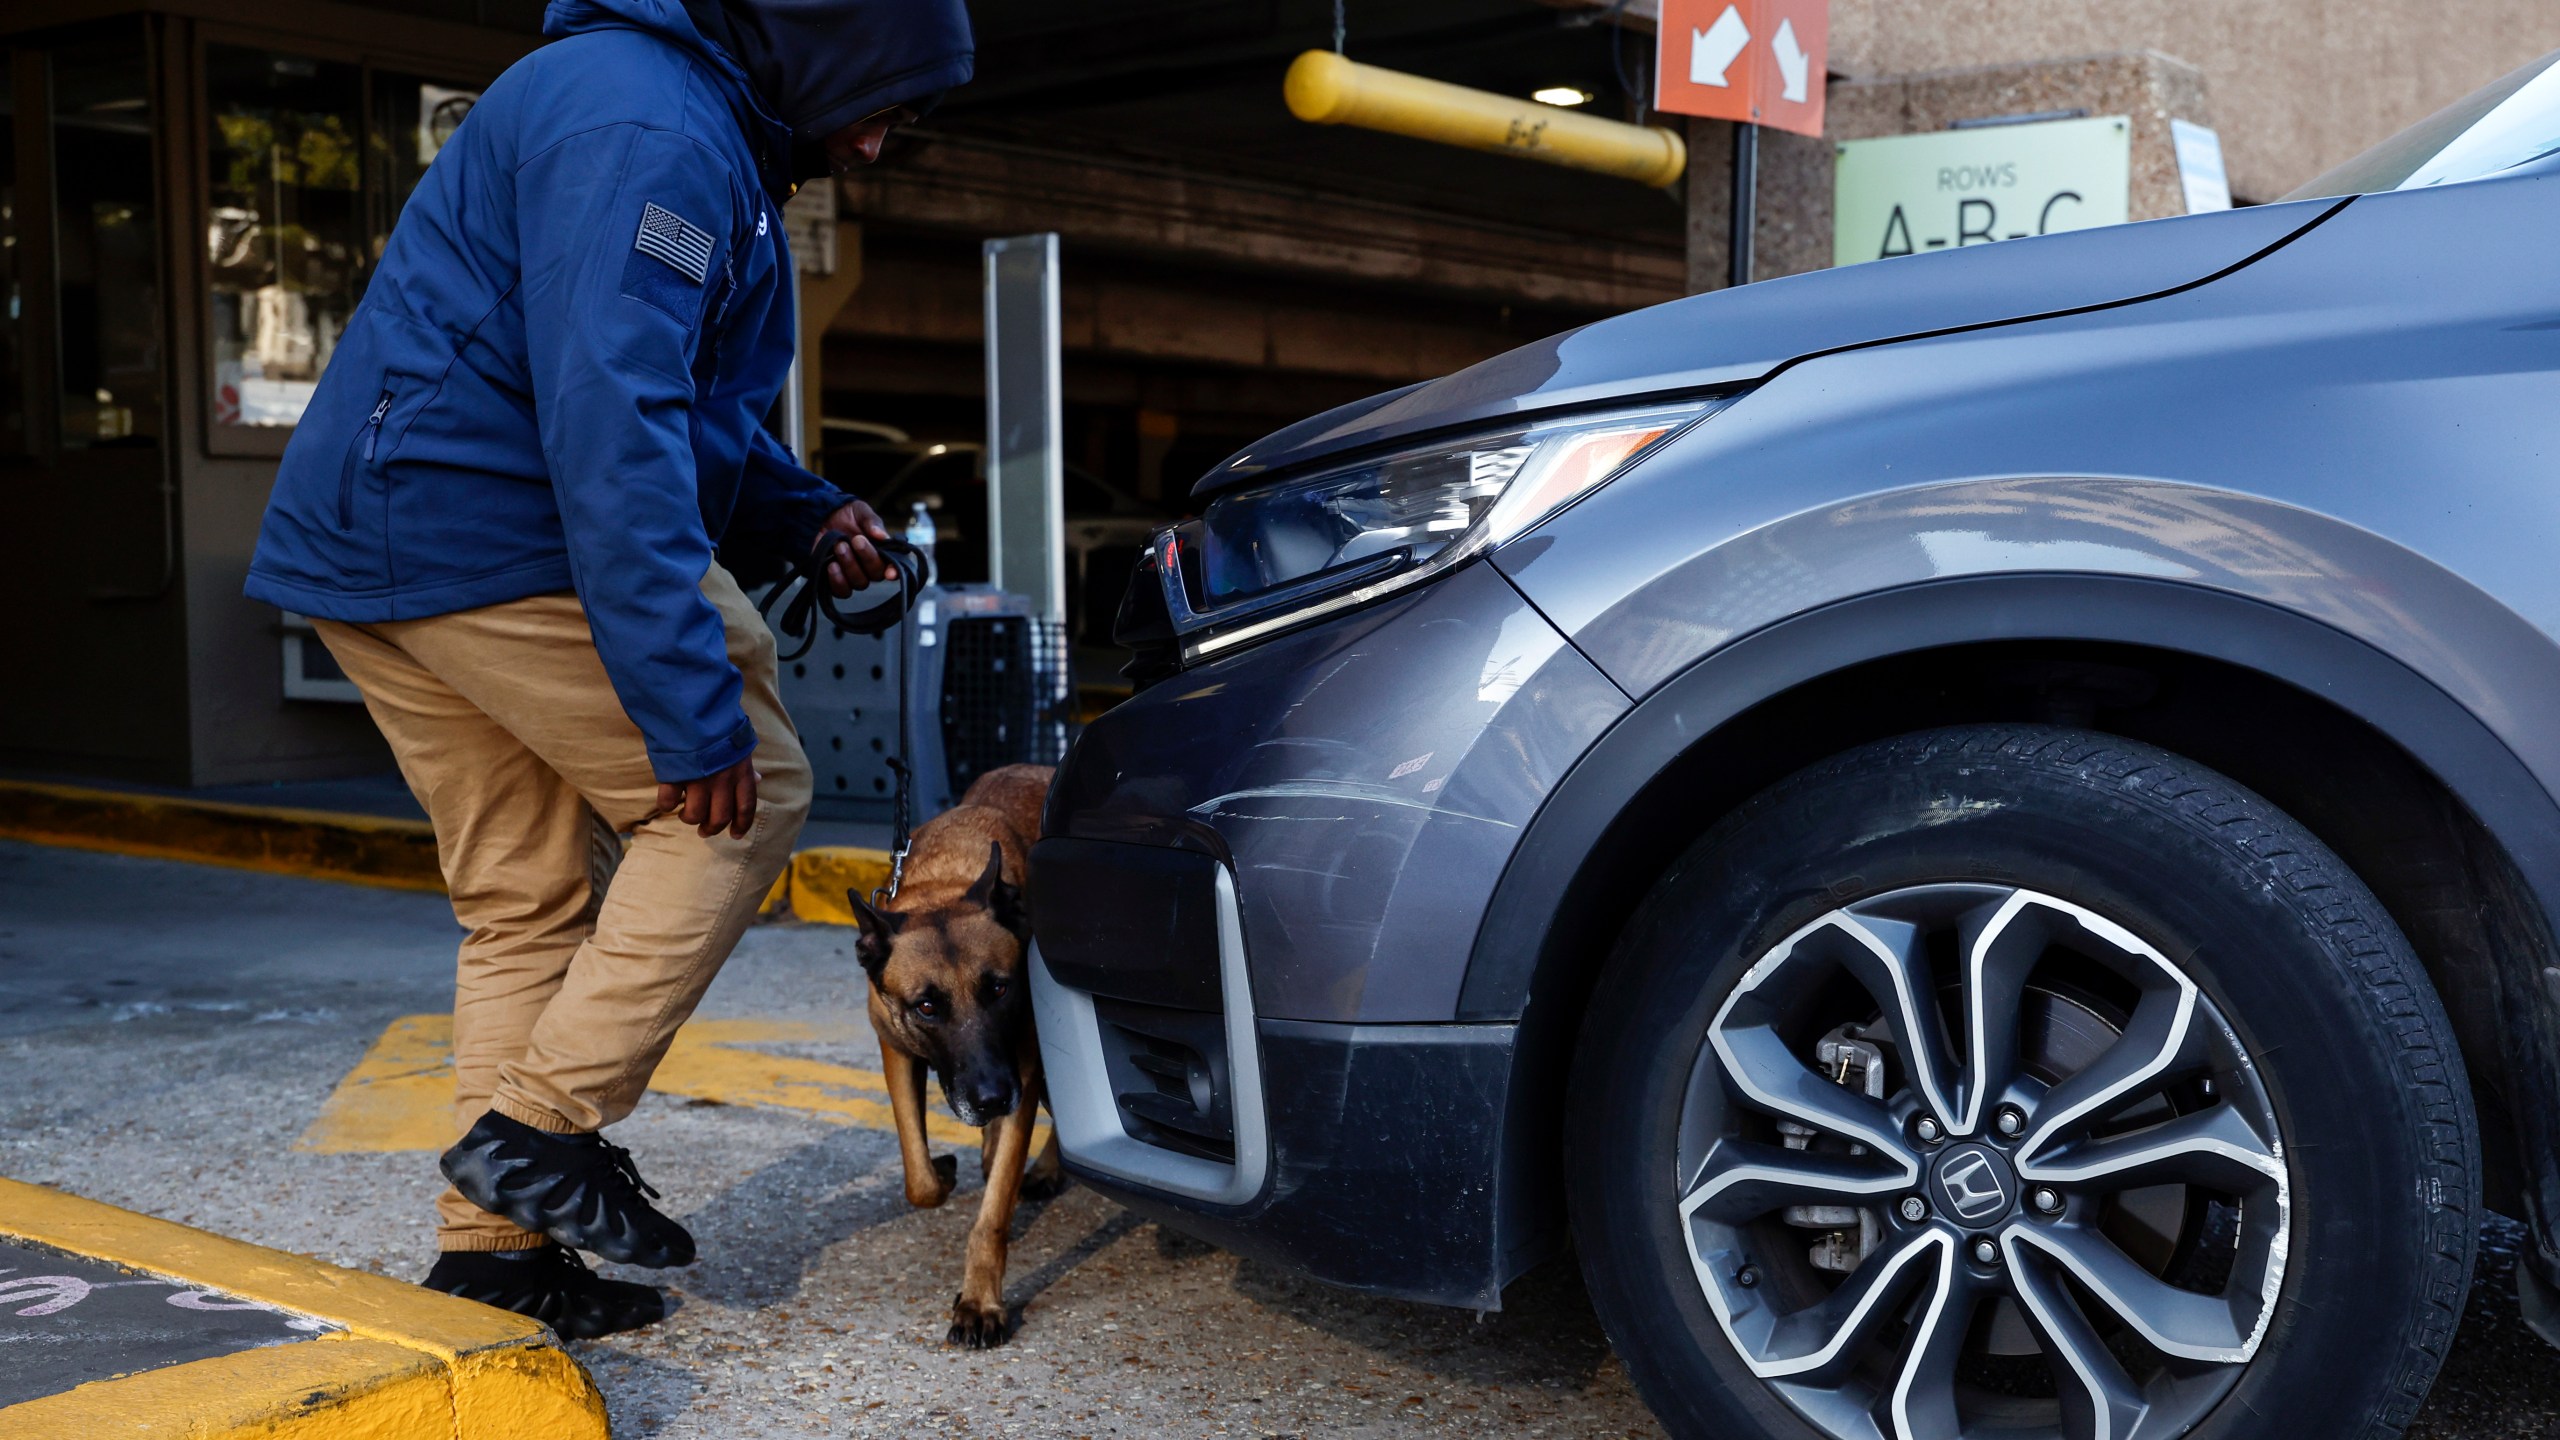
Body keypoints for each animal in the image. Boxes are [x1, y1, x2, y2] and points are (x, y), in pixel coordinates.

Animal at [849, 763, 1059, 1342]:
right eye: (926, 1007)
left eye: (999, 989)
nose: (990, 1099)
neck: (944, 884)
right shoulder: (896, 1053)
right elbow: (918, 1179)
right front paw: (941, 1171)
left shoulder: (1023, 1074)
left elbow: (992, 1217)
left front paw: (981, 1301)